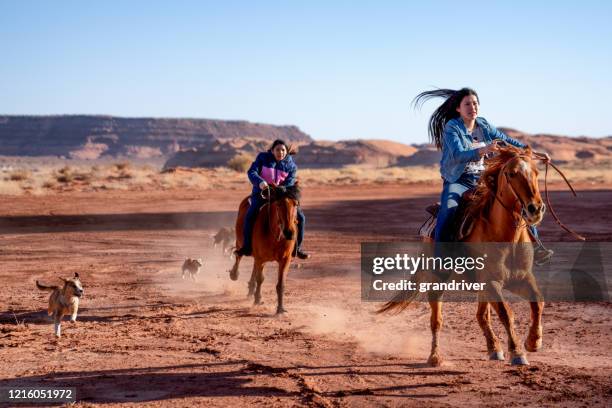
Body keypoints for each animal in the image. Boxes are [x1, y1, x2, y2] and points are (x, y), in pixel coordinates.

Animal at [228, 185, 300, 316]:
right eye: (278, 204)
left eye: (295, 204)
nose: (289, 233)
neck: (276, 236)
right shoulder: (261, 258)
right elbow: (260, 279)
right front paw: (257, 300)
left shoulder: (285, 260)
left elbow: (281, 284)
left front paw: (280, 309)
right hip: (241, 244)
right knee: (239, 257)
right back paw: (234, 274)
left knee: (254, 267)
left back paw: (251, 289)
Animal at [380, 147, 548, 366]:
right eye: (512, 174)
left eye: (536, 172)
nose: (535, 209)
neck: (505, 237)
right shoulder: (491, 282)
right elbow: (506, 313)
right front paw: (518, 352)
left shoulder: (521, 278)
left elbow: (538, 302)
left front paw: (533, 342)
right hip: (437, 282)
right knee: (437, 321)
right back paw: (435, 357)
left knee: (481, 316)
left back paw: (494, 349)